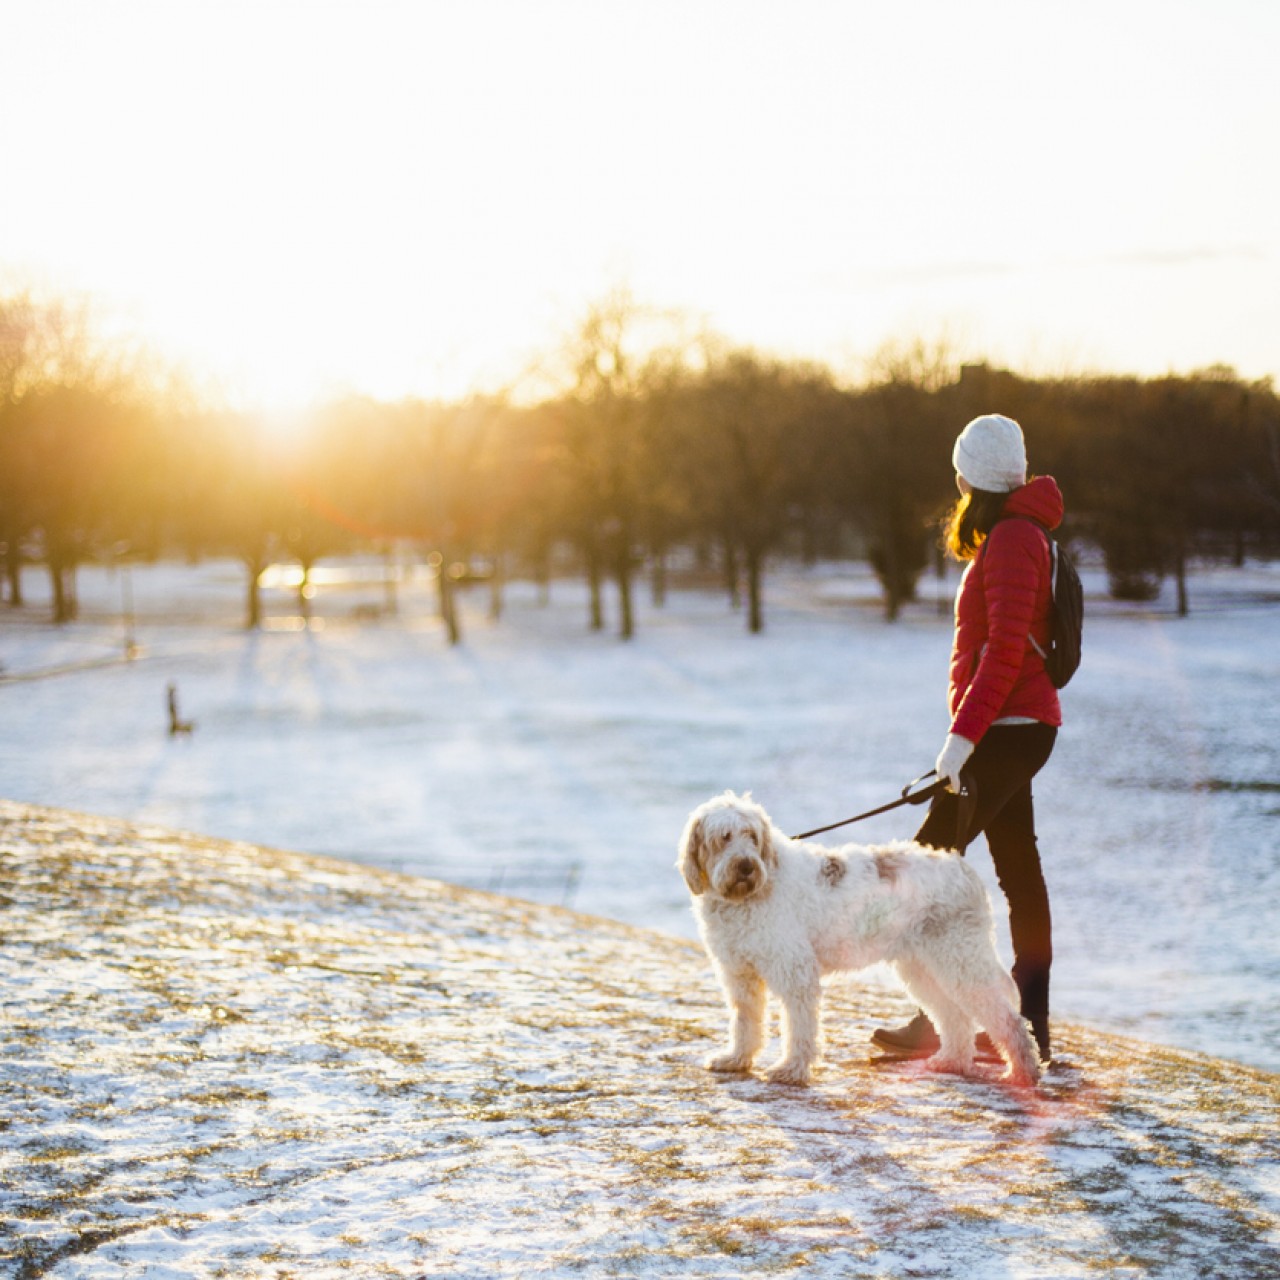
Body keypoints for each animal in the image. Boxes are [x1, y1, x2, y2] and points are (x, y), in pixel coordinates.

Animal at [680, 793, 1039, 1085]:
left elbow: (799, 1027)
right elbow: (745, 1021)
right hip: (925, 968)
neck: (755, 891)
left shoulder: (795, 972)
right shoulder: (740, 974)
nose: (746, 867)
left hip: (962, 960)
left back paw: (1022, 1073)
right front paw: (736, 1059)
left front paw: (792, 1070)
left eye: (752, 836)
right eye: (724, 838)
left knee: (1008, 1020)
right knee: (955, 1018)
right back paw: (951, 1061)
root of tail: (964, 869)